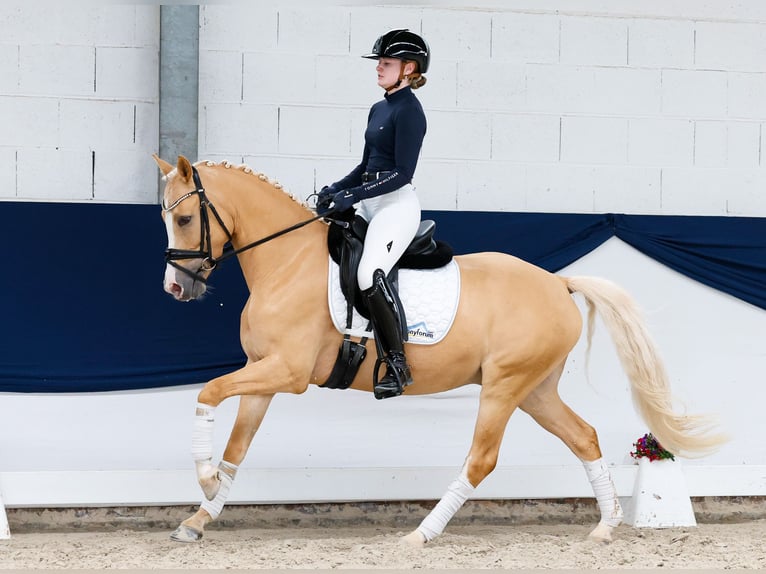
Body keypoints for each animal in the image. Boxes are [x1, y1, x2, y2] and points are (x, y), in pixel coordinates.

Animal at [153, 154, 725, 545]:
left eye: (183, 220)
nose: (176, 289)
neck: (286, 261)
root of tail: (558, 284)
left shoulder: (287, 373)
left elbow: (206, 393)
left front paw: (202, 479)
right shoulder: (263, 372)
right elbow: (237, 448)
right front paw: (201, 514)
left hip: (504, 386)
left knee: (481, 459)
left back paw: (421, 534)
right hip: (535, 390)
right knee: (583, 436)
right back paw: (606, 527)